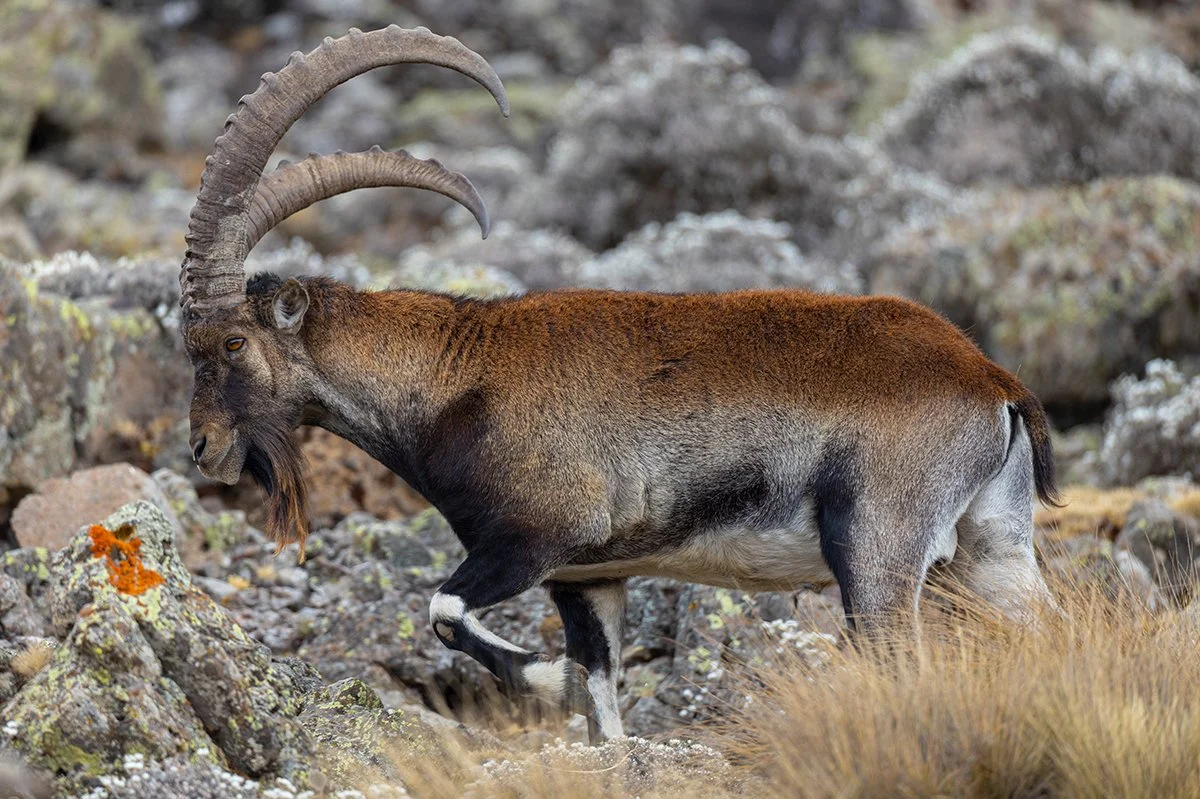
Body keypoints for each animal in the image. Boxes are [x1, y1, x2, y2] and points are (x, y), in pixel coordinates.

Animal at [180, 26, 1061, 743]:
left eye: (232, 340)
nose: (203, 448)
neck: (454, 378)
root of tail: (988, 377)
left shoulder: (538, 537)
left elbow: (445, 609)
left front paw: (543, 681)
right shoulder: (589, 576)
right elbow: (603, 698)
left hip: (877, 546)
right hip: (993, 546)